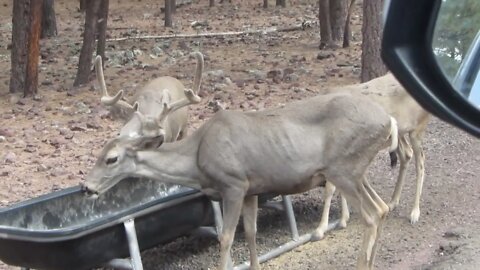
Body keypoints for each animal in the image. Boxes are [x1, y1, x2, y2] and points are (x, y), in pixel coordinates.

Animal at [84, 91, 400, 270]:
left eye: (111, 158)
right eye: (98, 153)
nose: (86, 187)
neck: (197, 160)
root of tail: (389, 120)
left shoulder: (234, 184)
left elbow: (225, 237)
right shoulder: (252, 189)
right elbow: (250, 233)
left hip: (343, 167)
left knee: (372, 214)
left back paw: (362, 264)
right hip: (356, 170)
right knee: (383, 207)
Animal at [316, 73, 432, 240]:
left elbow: (330, 188)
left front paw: (321, 228)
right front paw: (343, 219)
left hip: (417, 129)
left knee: (420, 162)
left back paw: (414, 213)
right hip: (400, 134)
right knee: (406, 154)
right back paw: (392, 202)